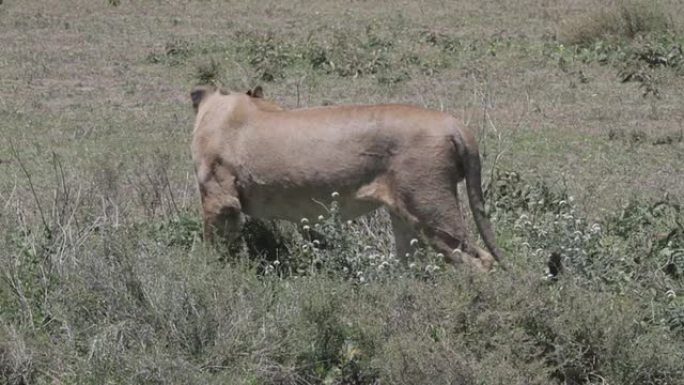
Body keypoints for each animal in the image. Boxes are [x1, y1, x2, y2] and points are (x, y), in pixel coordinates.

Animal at [190, 85, 504, 270]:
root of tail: (456, 125)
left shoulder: (220, 199)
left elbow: (214, 247)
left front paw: (209, 275)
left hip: (431, 210)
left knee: (479, 262)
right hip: (405, 217)